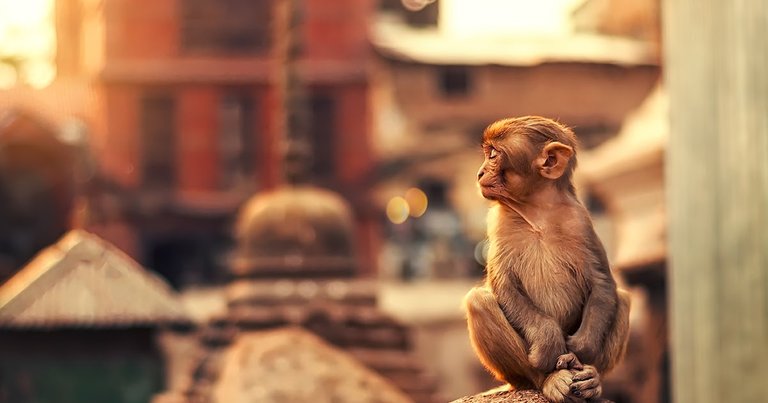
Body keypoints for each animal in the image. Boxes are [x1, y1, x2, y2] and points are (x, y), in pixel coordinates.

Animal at [462, 115, 632, 402]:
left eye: (493, 155)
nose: (479, 173)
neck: (538, 211)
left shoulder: (580, 221)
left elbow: (602, 282)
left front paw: (581, 347)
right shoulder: (499, 224)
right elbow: (505, 285)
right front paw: (549, 342)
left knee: (622, 298)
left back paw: (592, 377)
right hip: (515, 377)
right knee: (479, 301)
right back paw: (548, 380)